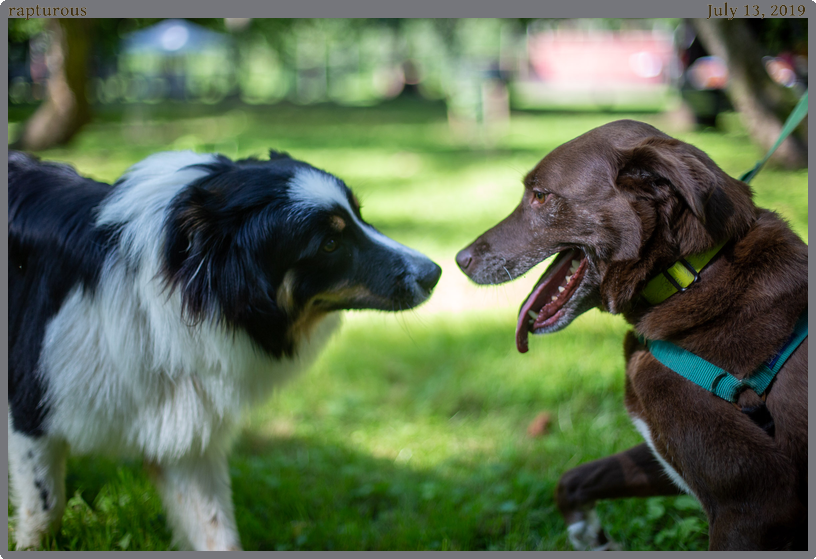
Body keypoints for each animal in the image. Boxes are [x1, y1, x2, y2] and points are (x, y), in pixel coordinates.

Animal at [6, 151, 440, 552]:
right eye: (330, 243)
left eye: (359, 216)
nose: (434, 273)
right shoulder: (29, 409)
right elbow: (46, 506)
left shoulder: (180, 431)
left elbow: (216, 530)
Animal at [456, 119, 808, 552]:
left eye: (539, 195)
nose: (460, 260)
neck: (690, 275)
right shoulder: (667, 456)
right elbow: (575, 478)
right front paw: (590, 536)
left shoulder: (755, 504)